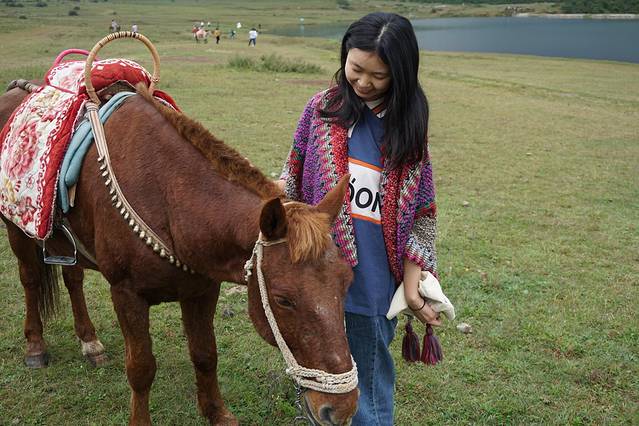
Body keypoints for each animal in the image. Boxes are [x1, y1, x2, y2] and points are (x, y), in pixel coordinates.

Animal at [0, 84, 359, 425]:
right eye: (283, 300)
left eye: (346, 283)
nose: (341, 409)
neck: (168, 196)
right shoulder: (126, 294)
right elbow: (141, 368)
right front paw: (140, 421)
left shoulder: (202, 290)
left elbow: (205, 354)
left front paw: (217, 413)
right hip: (17, 230)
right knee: (30, 279)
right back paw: (36, 346)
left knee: (72, 278)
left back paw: (90, 342)